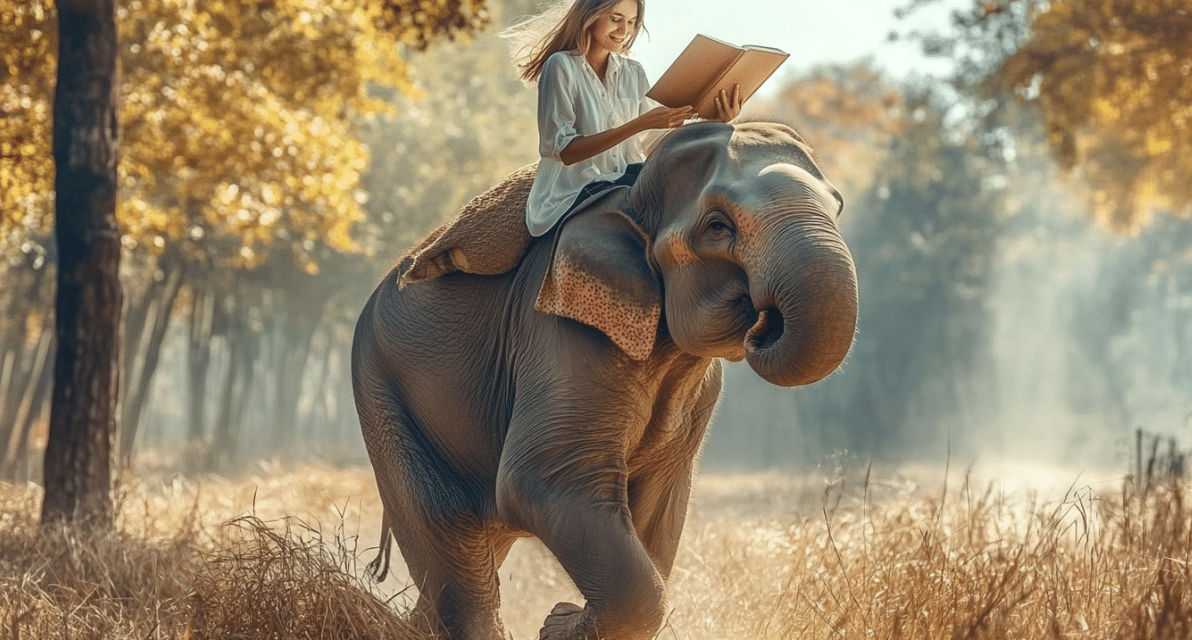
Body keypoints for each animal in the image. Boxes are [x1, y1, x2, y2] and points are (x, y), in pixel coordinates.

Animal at [351, 120, 857, 640]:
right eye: (717, 226)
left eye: (837, 206)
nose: (764, 321)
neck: (630, 196)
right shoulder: (561, 332)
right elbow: (545, 479)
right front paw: (557, 624)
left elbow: (658, 507)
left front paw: (560, 620)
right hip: (381, 387)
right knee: (450, 535)